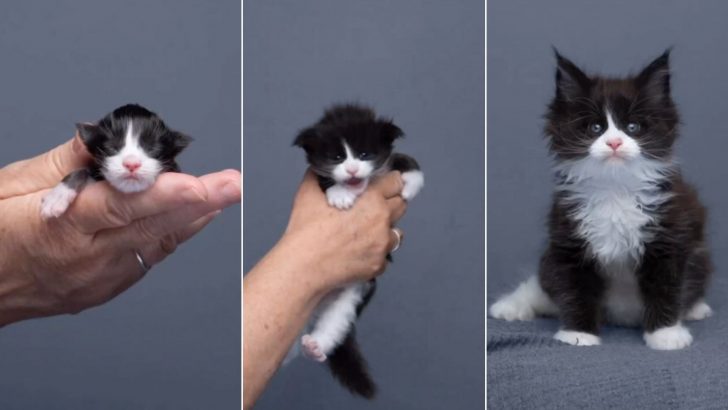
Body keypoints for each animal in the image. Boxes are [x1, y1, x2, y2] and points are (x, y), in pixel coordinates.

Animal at [292, 102, 424, 398]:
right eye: (338, 157)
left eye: (365, 154)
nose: (352, 171)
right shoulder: (314, 177)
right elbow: (325, 181)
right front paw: (339, 194)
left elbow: (407, 160)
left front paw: (410, 183)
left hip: (352, 291)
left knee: (337, 322)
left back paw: (316, 346)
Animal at [490, 48, 712, 350]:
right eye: (596, 128)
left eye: (632, 127)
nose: (614, 143)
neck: (614, 190)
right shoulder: (568, 239)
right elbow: (574, 288)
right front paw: (578, 335)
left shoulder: (669, 237)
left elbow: (666, 287)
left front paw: (665, 333)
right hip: (549, 261)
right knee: (545, 287)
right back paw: (510, 306)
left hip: (700, 255)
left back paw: (695, 308)